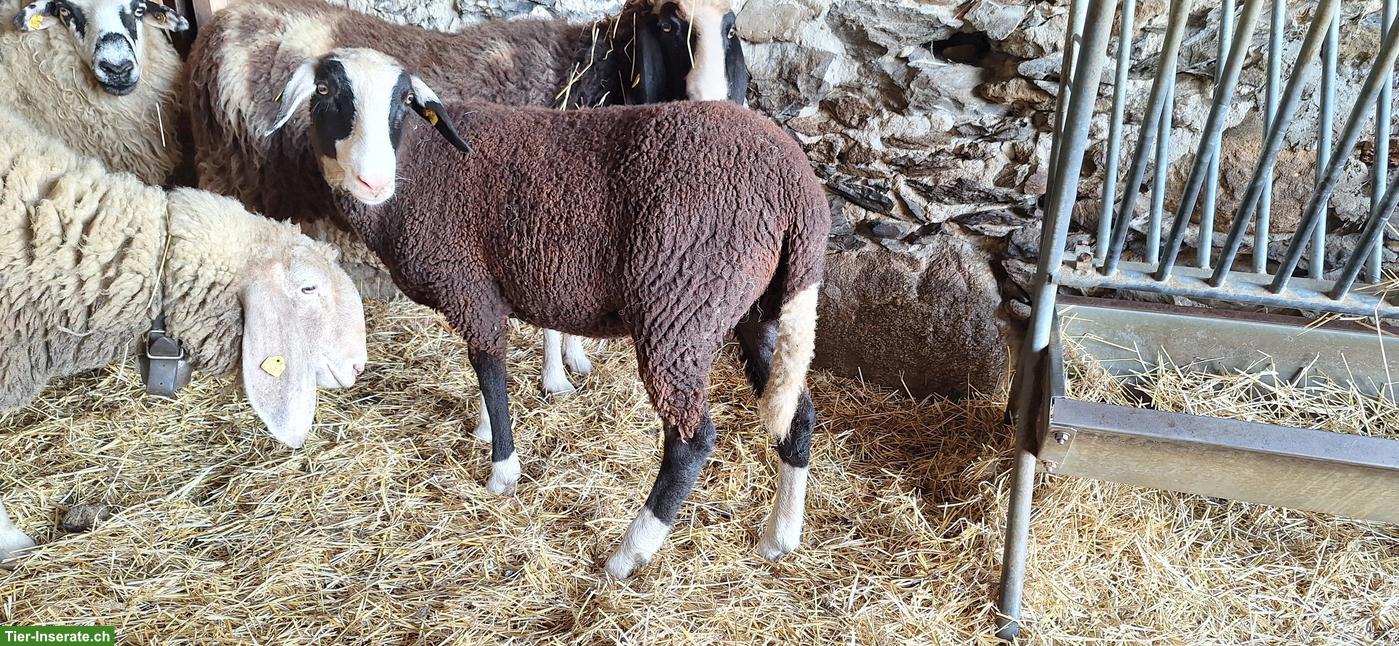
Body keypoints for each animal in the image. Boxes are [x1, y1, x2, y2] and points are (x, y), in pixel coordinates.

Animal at [185, 0, 749, 402]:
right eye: (669, 25)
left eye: (730, 28)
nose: (713, 101)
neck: (590, 74)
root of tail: (218, 30)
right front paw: (557, 379)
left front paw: (576, 357)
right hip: (244, 181)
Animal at [270, 48, 827, 578]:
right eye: (325, 90)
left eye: (403, 102)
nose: (372, 180)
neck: (419, 164)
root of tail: (799, 191)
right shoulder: (488, 290)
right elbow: (487, 370)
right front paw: (486, 428)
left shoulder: (466, 283)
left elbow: (489, 367)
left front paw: (503, 470)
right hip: (755, 309)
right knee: (797, 414)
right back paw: (781, 536)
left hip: (678, 306)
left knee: (692, 440)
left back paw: (628, 555)